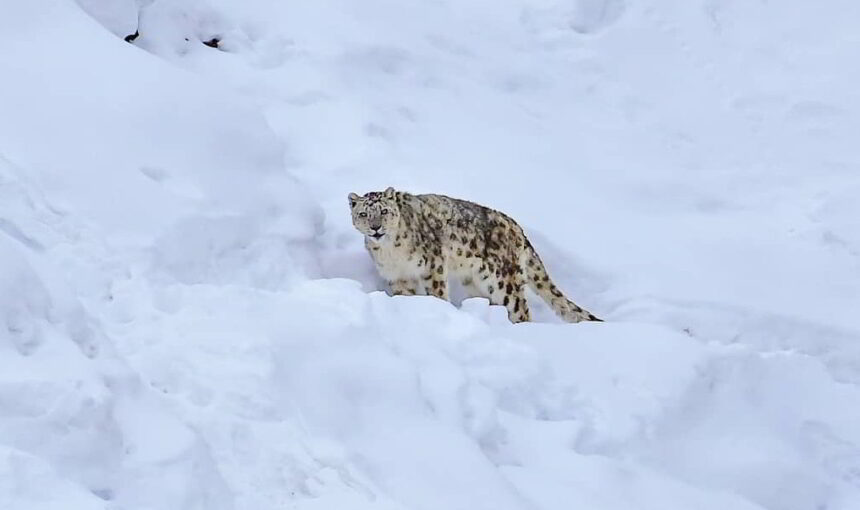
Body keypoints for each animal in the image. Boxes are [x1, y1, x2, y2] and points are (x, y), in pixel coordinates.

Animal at [348, 187, 601, 324]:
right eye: (363, 214)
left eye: (384, 211)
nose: (376, 228)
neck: (392, 253)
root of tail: (518, 229)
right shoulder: (398, 277)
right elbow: (406, 296)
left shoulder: (433, 266)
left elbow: (437, 293)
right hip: (477, 282)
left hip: (504, 281)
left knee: (520, 308)